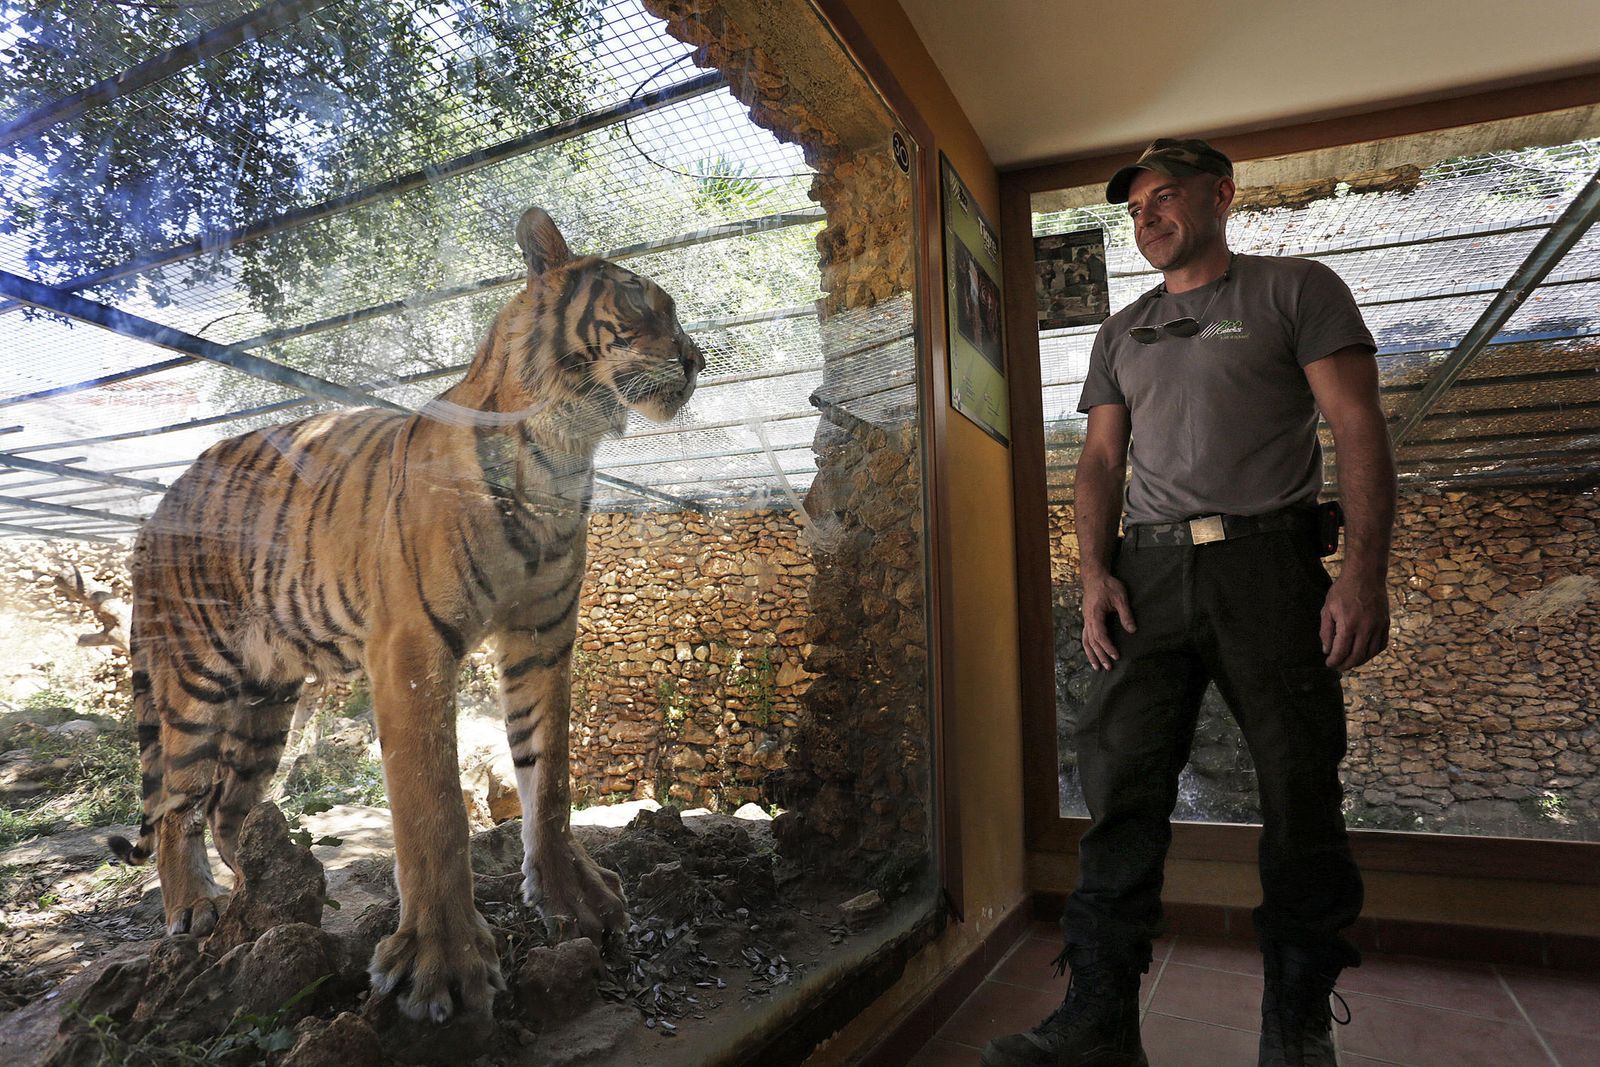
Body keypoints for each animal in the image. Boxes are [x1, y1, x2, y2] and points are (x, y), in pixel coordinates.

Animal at [109, 207, 705, 1022]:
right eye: (644, 302)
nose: (699, 360)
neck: (563, 450)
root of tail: (158, 504)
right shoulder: (412, 646)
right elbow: (433, 807)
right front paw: (442, 965)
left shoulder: (543, 637)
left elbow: (548, 778)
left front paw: (574, 899)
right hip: (194, 674)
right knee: (176, 804)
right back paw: (195, 908)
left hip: (267, 699)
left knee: (232, 808)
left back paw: (280, 893)